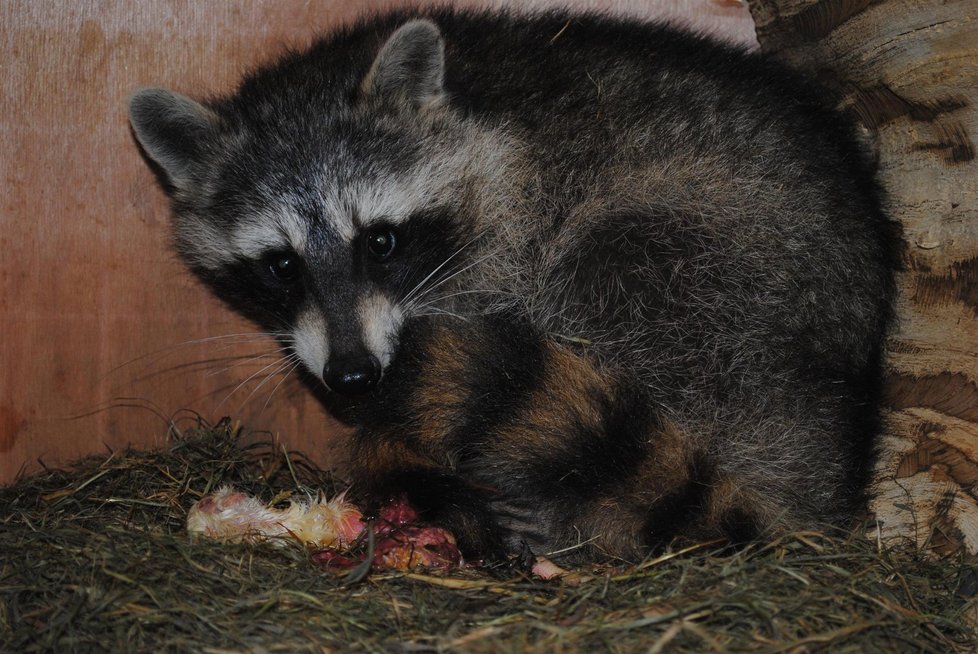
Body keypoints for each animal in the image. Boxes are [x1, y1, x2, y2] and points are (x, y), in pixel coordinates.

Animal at [130, 9, 900, 564]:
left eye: (380, 241)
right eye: (282, 266)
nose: (353, 376)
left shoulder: (511, 230)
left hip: (714, 278)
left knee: (610, 270)